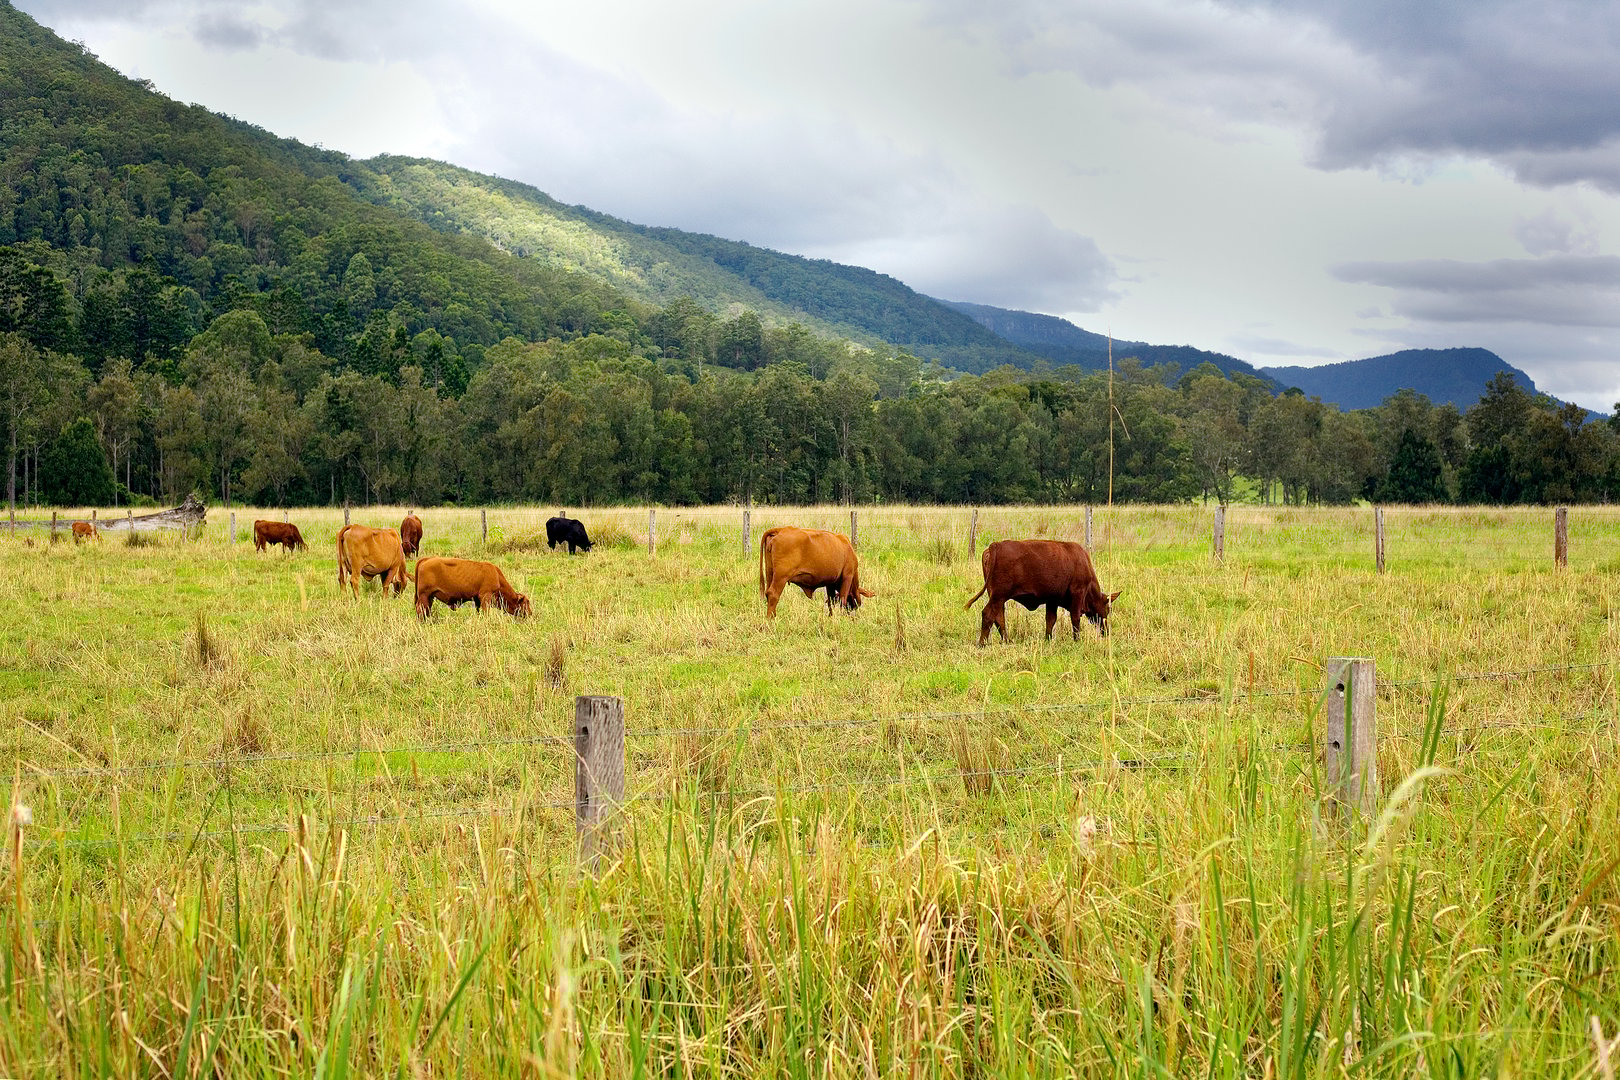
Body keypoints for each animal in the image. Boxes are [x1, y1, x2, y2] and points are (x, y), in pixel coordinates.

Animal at [964, 539, 1120, 646]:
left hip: (998, 597)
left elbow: (1050, 620)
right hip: (998, 596)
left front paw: (1048, 639)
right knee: (988, 614)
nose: (1106, 632)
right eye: (1108, 609)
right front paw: (1077, 640)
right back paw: (982, 643)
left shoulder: (1052, 600)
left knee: (999, 617)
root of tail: (996, 545)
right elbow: (1075, 619)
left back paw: (1007, 640)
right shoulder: (1077, 594)